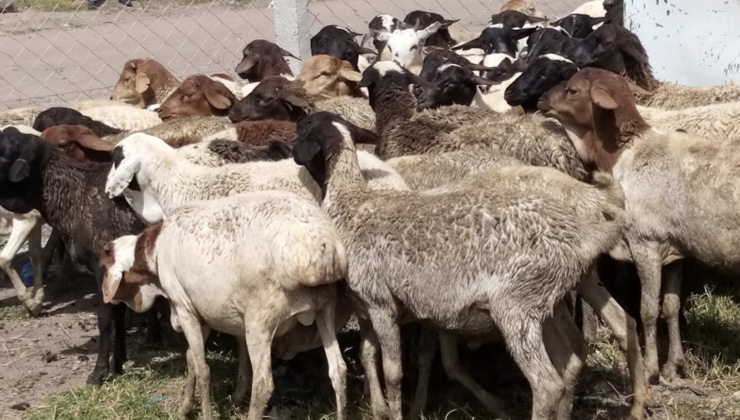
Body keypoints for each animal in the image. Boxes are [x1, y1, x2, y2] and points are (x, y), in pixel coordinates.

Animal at [0, 127, 148, 386]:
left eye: (3, 156)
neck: (74, 195)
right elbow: (119, 314)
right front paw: (119, 362)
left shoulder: (103, 267)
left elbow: (105, 318)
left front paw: (99, 373)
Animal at [99, 191, 348, 420]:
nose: (109, 298)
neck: (154, 256)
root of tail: (321, 247)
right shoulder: (206, 314)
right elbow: (193, 358)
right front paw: (188, 407)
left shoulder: (184, 307)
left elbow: (203, 369)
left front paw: (204, 412)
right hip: (324, 307)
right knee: (338, 370)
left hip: (261, 319)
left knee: (263, 384)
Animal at [290, 111, 646, 420]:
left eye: (303, 129)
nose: (290, 153)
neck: (353, 201)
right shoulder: (373, 307)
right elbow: (370, 355)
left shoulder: (382, 304)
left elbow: (394, 372)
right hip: (550, 299)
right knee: (583, 348)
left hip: (516, 306)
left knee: (547, 383)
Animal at [537, 66, 740, 385]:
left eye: (572, 90)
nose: (541, 100)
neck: (624, 153)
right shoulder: (674, 252)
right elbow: (670, 307)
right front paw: (673, 366)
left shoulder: (646, 241)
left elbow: (647, 310)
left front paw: (651, 368)